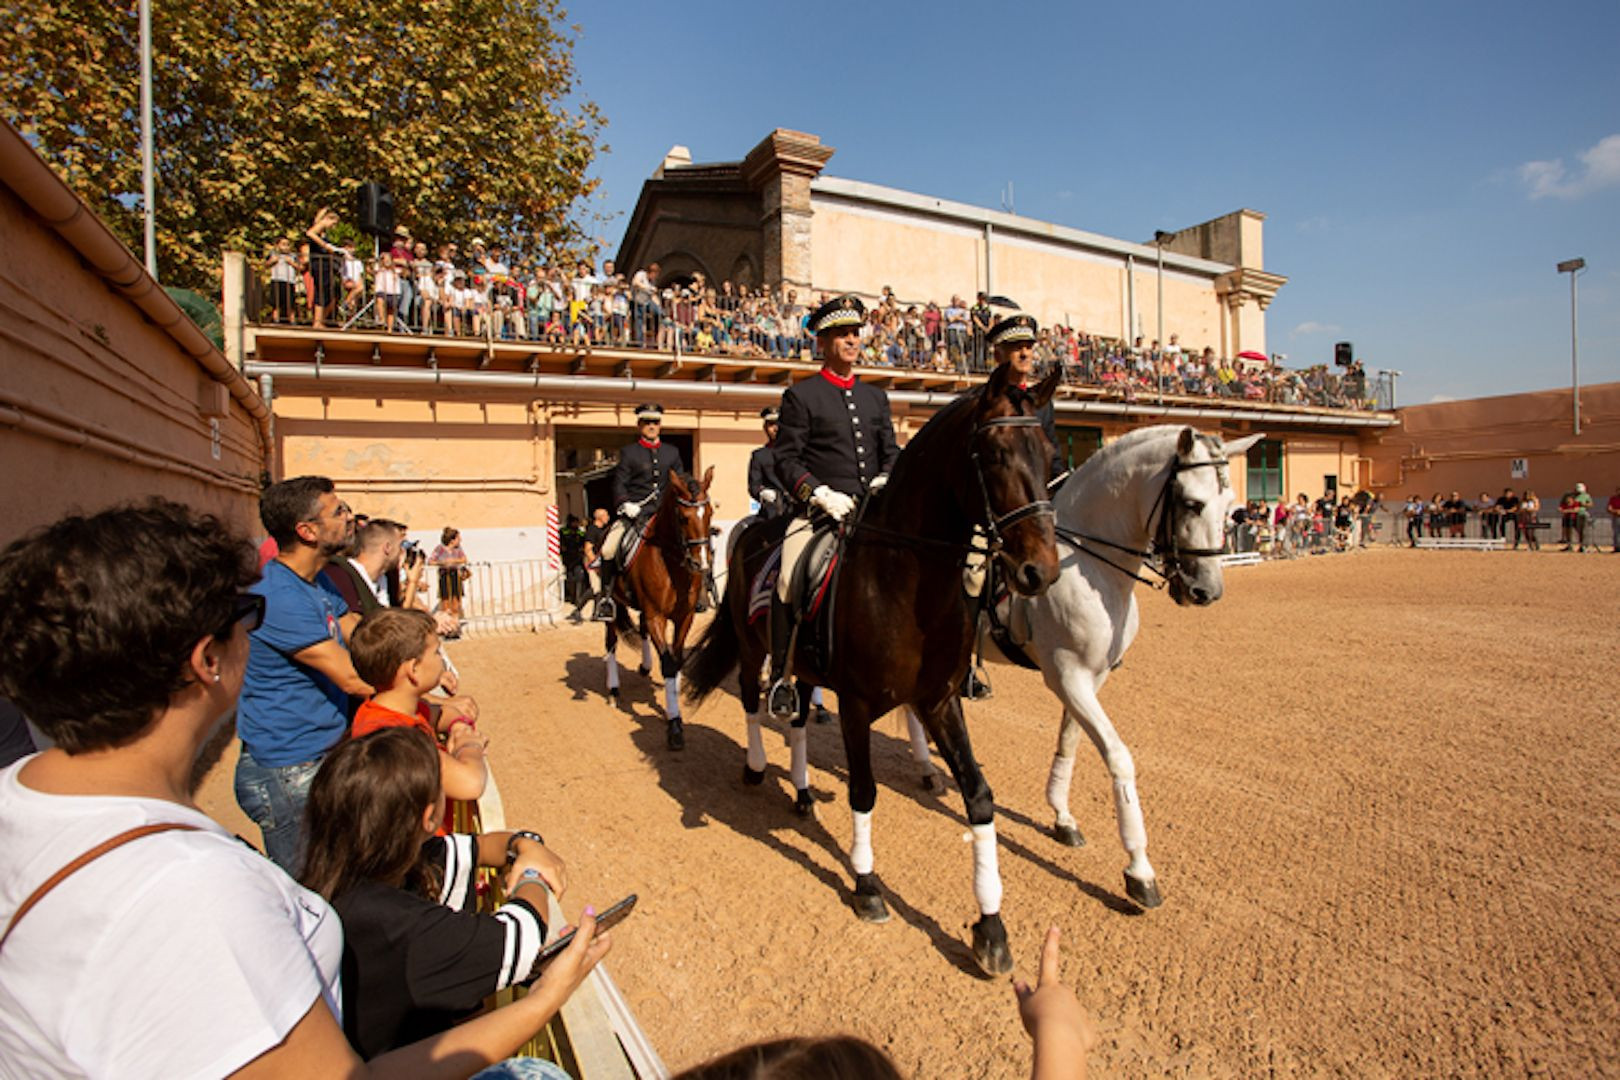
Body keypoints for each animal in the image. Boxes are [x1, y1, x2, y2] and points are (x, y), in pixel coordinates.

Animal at [605, 466, 712, 751]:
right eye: (683, 518)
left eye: (710, 513)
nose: (701, 564)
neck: (672, 563)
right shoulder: (657, 617)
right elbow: (668, 664)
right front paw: (675, 725)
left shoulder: (684, 617)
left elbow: (675, 659)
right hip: (611, 607)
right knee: (611, 643)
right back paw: (613, 690)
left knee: (641, 630)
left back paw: (644, 667)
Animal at [683, 365, 1062, 977]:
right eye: (996, 454)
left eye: (1050, 453)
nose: (1040, 571)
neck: (907, 577)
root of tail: (751, 532)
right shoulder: (857, 704)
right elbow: (863, 792)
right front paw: (866, 886)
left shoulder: (939, 700)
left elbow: (979, 796)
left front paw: (991, 927)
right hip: (750, 645)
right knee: (750, 700)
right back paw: (757, 768)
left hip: (802, 667)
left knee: (794, 715)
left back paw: (803, 792)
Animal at [907, 427, 1257, 906]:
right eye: (1191, 503)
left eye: (1231, 506)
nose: (1206, 591)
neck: (1088, 564)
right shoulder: (1067, 677)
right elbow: (1119, 758)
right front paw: (1139, 870)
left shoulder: (1091, 677)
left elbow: (1069, 741)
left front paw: (1062, 817)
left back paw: (926, 770)